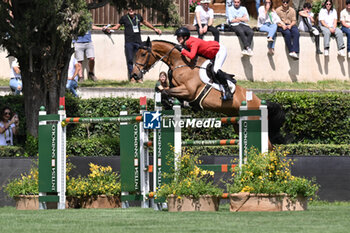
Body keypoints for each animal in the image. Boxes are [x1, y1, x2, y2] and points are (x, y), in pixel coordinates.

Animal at [131, 38, 284, 147]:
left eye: (143, 54)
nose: (134, 75)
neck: (180, 63)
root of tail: (259, 101)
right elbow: (165, 92)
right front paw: (172, 103)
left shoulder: (188, 90)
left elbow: (166, 92)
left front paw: (169, 101)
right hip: (237, 124)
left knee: (269, 147)